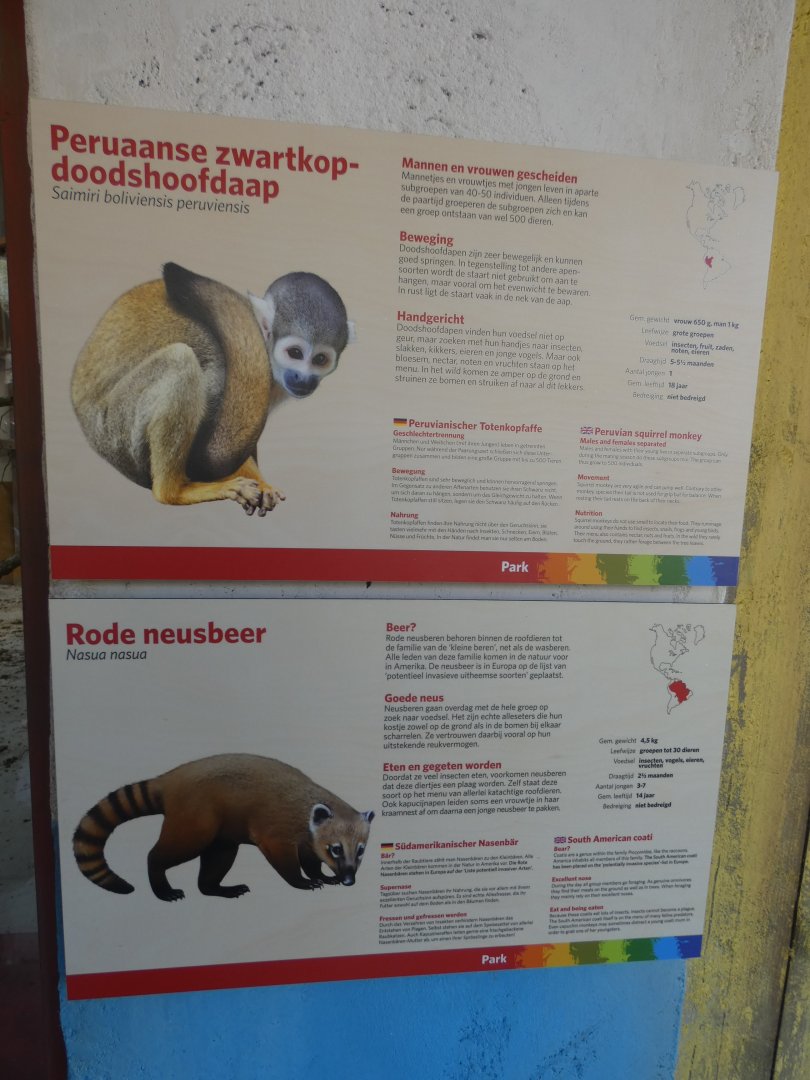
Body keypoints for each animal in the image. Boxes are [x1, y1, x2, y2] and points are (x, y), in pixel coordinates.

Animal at [70, 263, 354, 516]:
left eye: (320, 359)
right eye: (295, 353)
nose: (304, 379)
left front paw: (261, 483)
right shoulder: (224, 367)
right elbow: (212, 448)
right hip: (115, 429)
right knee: (181, 361)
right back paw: (173, 492)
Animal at [72, 754, 374, 901]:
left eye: (361, 851)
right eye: (336, 849)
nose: (349, 880)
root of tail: (169, 779)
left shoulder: (309, 838)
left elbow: (309, 857)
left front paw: (321, 874)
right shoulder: (278, 826)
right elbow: (282, 856)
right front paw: (301, 880)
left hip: (222, 833)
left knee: (218, 858)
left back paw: (215, 888)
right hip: (196, 818)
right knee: (169, 850)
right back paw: (160, 882)